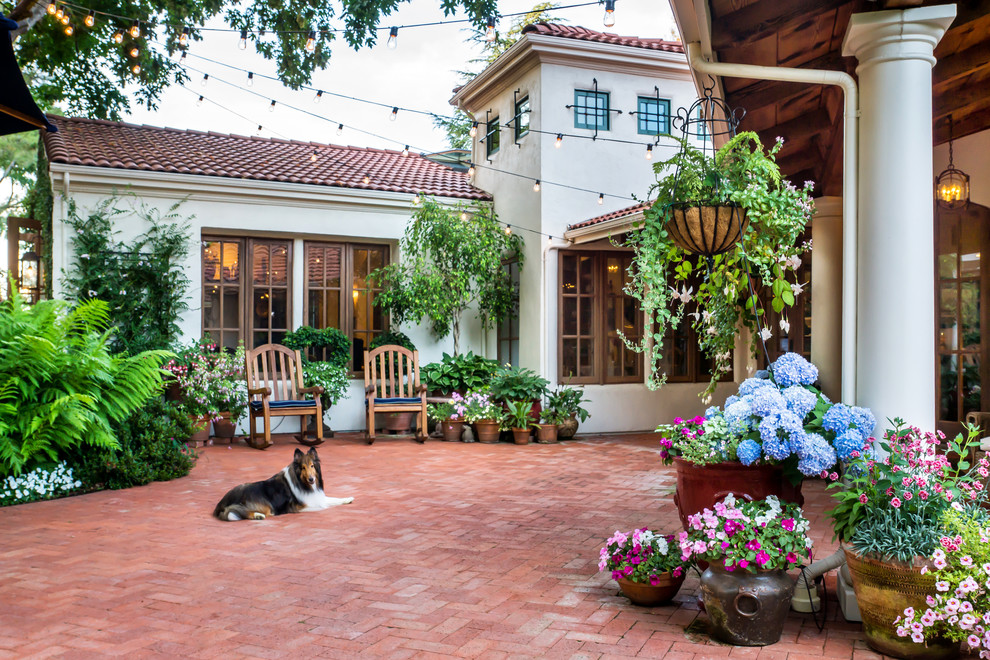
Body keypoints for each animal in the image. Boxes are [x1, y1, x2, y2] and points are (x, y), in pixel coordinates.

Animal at [212, 448, 352, 520]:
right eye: (303, 468)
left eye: (312, 466)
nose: (312, 479)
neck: (302, 482)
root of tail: (221, 503)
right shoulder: (300, 506)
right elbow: (324, 504)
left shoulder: (317, 496)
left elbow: (333, 499)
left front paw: (347, 499)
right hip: (264, 504)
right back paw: (258, 516)